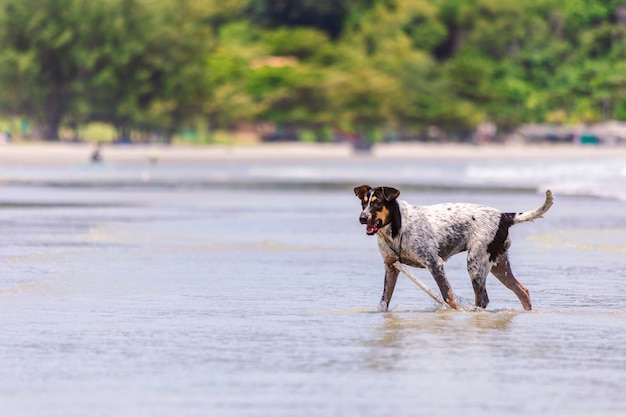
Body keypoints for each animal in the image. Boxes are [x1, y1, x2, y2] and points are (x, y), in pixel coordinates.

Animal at [352, 184, 552, 308]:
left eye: (378, 203)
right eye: (363, 203)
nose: (362, 218)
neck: (397, 227)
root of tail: (504, 216)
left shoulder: (435, 264)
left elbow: (449, 298)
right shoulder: (391, 268)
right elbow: (383, 303)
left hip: (475, 264)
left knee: (483, 300)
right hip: (498, 265)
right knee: (523, 292)